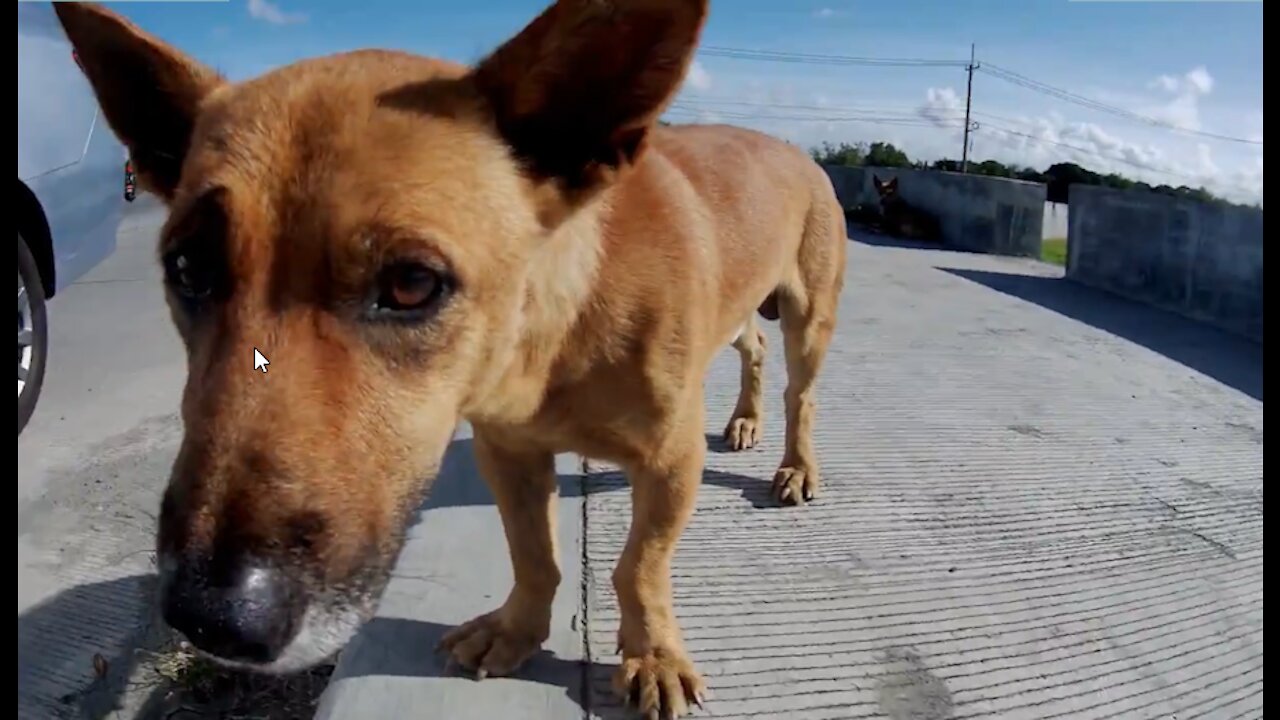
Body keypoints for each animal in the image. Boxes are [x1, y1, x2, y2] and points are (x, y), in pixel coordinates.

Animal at [52, 2, 849, 712]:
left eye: (411, 284)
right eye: (188, 269)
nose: (211, 618)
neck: (552, 338)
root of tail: (790, 149)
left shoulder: (670, 462)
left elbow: (639, 569)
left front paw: (652, 655)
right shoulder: (509, 453)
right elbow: (535, 555)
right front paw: (520, 630)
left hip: (809, 322)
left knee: (801, 394)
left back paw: (794, 463)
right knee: (751, 349)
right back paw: (744, 419)